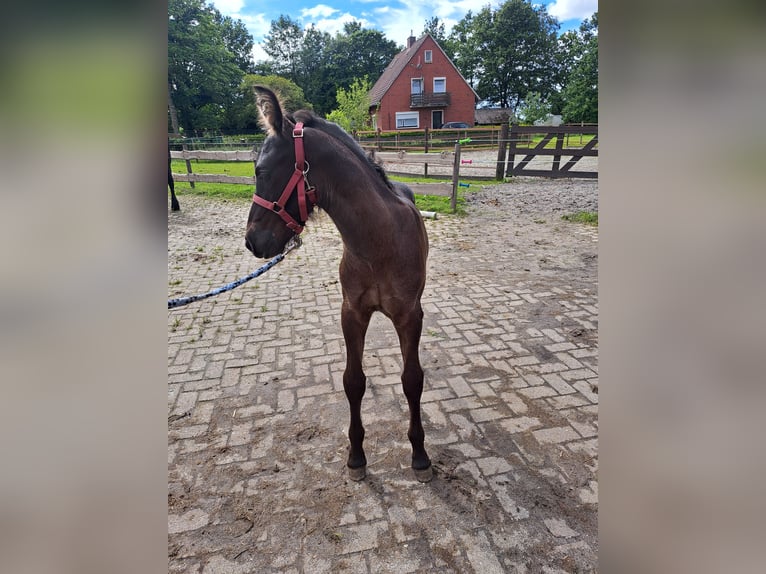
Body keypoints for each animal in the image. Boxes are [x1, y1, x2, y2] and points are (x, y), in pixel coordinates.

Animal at [244, 85, 432, 482]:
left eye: (261, 170)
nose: (253, 242)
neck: (377, 242)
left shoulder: (410, 317)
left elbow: (412, 379)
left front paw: (420, 454)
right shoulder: (352, 314)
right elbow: (353, 381)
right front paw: (356, 456)